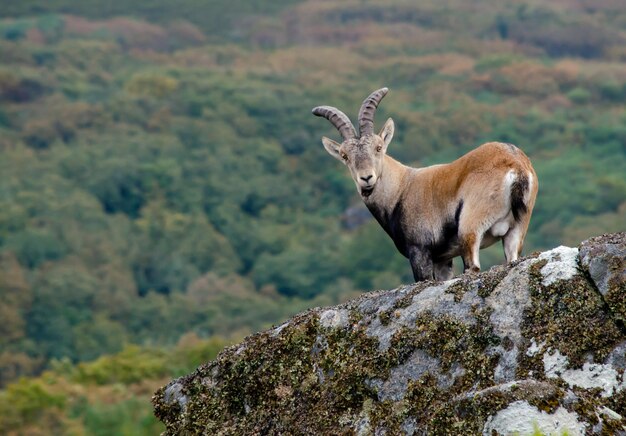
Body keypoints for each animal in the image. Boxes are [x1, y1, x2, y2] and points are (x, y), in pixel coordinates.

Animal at [312, 87, 536, 282]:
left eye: (378, 147)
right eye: (344, 155)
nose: (366, 178)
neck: (401, 188)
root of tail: (515, 165)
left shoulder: (419, 250)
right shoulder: (442, 258)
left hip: (470, 226)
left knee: (472, 265)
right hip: (517, 227)